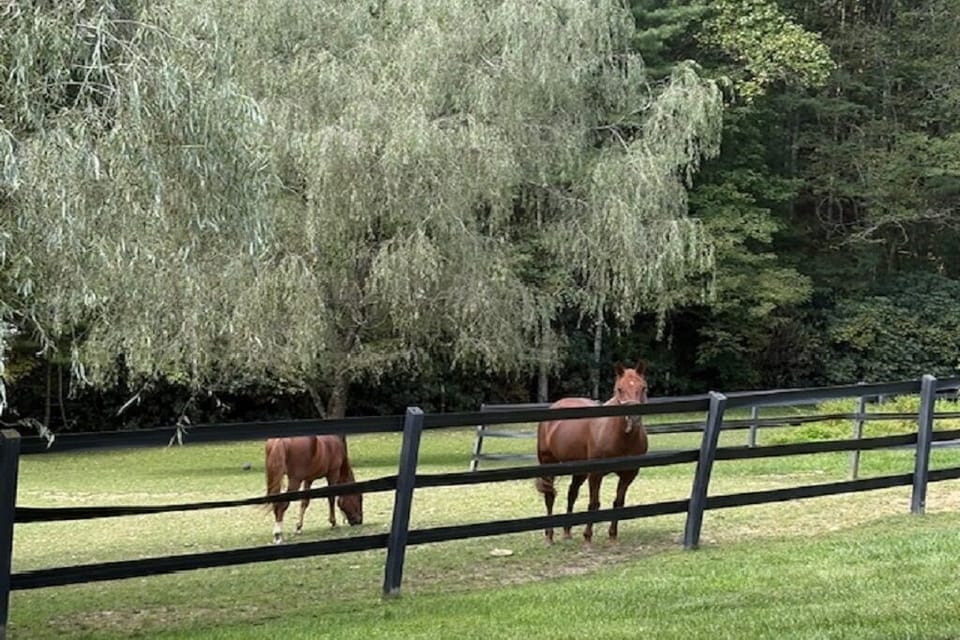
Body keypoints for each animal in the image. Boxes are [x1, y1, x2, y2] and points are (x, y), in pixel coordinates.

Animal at [535, 360, 649, 544]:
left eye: (643, 387)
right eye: (619, 389)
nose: (633, 418)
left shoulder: (628, 474)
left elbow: (619, 502)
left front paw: (612, 535)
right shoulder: (596, 474)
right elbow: (594, 504)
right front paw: (588, 536)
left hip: (578, 470)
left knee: (572, 493)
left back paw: (567, 531)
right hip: (548, 463)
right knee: (550, 496)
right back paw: (549, 536)